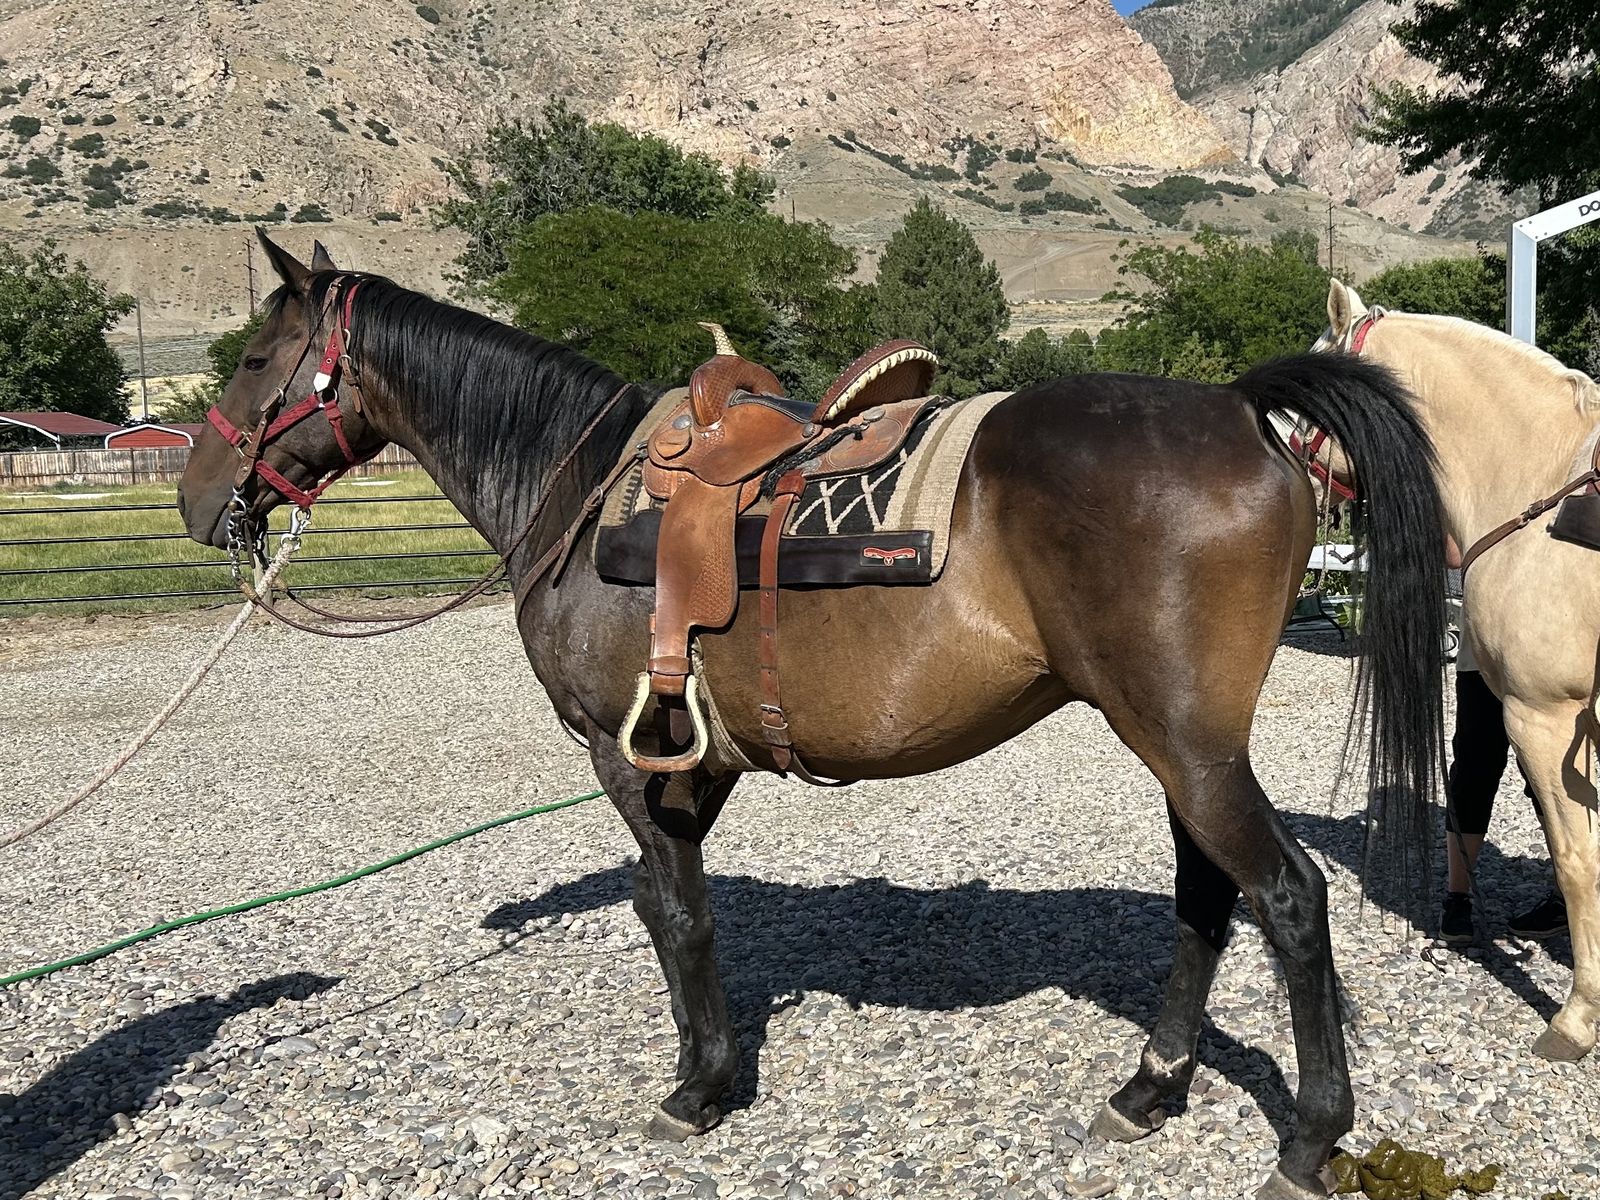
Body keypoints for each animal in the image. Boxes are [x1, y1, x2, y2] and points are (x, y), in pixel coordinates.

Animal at [176, 232, 1448, 1199]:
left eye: (257, 355)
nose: (195, 496)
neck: (577, 491)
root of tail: (1237, 409)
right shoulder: (691, 763)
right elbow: (678, 904)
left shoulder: (624, 757)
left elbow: (672, 914)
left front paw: (697, 1089)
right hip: (1185, 747)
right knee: (1205, 899)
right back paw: (1147, 1088)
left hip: (1185, 745)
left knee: (1286, 897)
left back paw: (1308, 1138)